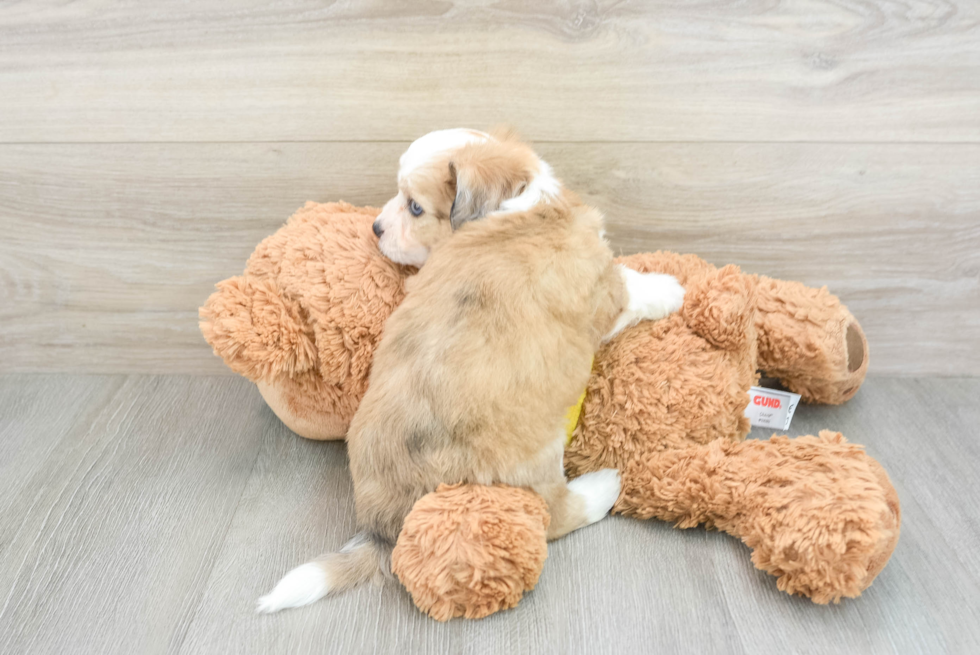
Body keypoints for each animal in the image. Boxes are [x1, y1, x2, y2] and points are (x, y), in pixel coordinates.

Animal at [256, 129, 684, 616]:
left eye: (414, 207)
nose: (375, 228)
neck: (521, 204)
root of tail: (385, 523)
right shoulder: (603, 291)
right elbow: (632, 286)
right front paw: (669, 288)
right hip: (535, 459)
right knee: (555, 513)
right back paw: (604, 486)